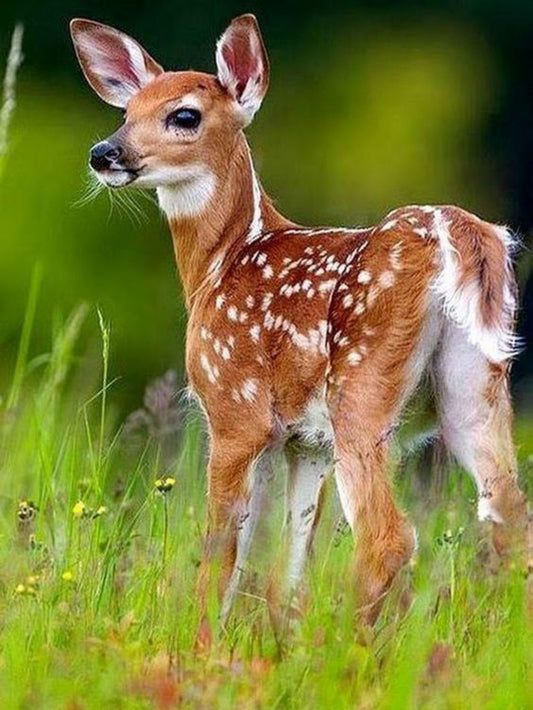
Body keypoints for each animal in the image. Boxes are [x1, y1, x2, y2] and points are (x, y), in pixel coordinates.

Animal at [70, 14, 527, 630]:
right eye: (126, 113)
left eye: (184, 115)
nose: (105, 153)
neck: (220, 263)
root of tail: (458, 232)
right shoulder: (303, 441)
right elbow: (290, 560)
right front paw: (281, 637)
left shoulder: (236, 408)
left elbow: (223, 552)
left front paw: (200, 641)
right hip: (474, 387)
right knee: (509, 519)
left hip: (361, 387)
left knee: (388, 537)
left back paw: (351, 644)